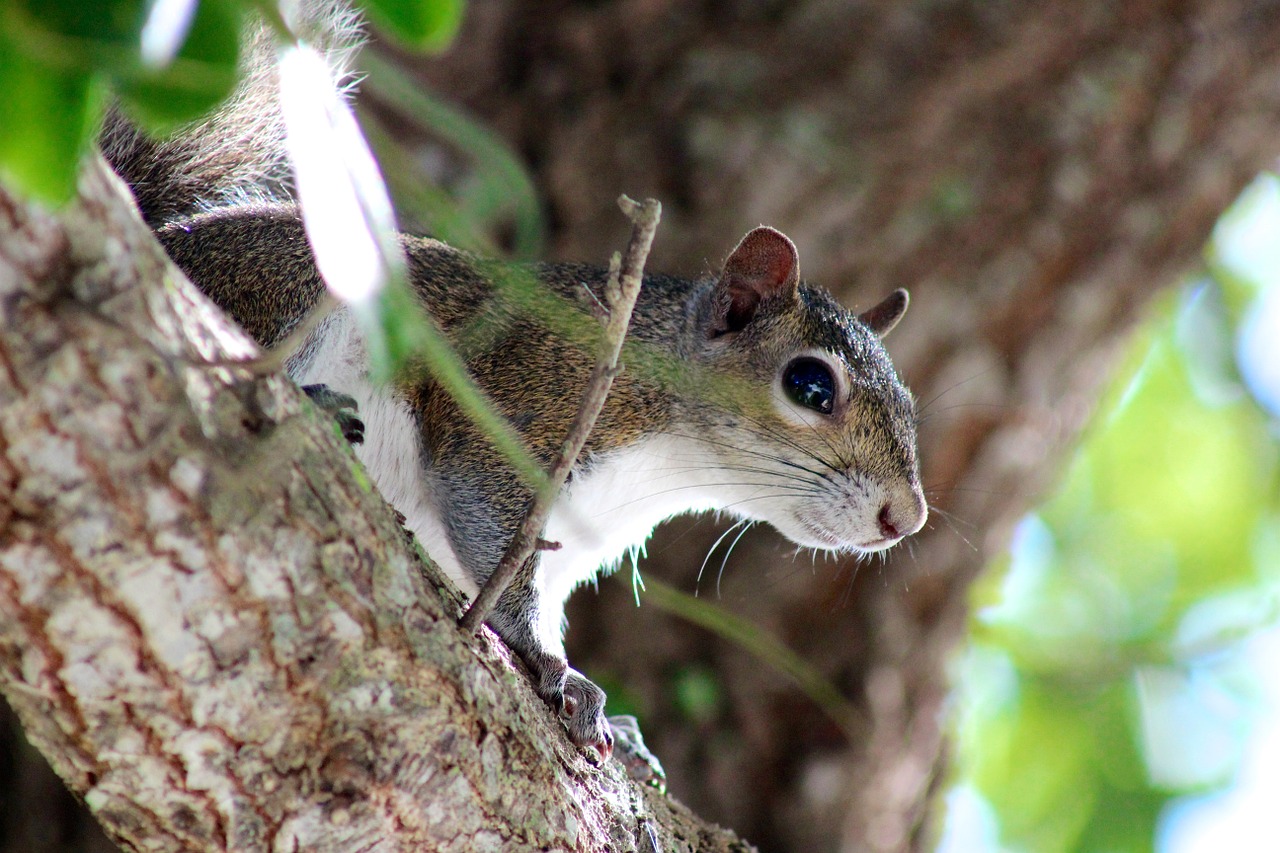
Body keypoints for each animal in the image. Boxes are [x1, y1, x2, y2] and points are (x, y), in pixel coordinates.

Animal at [97, 3, 921, 778]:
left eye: (911, 404)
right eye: (810, 385)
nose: (904, 518)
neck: (667, 458)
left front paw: (624, 730)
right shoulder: (521, 404)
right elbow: (491, 526)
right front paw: (555, 667)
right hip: (286, 288)